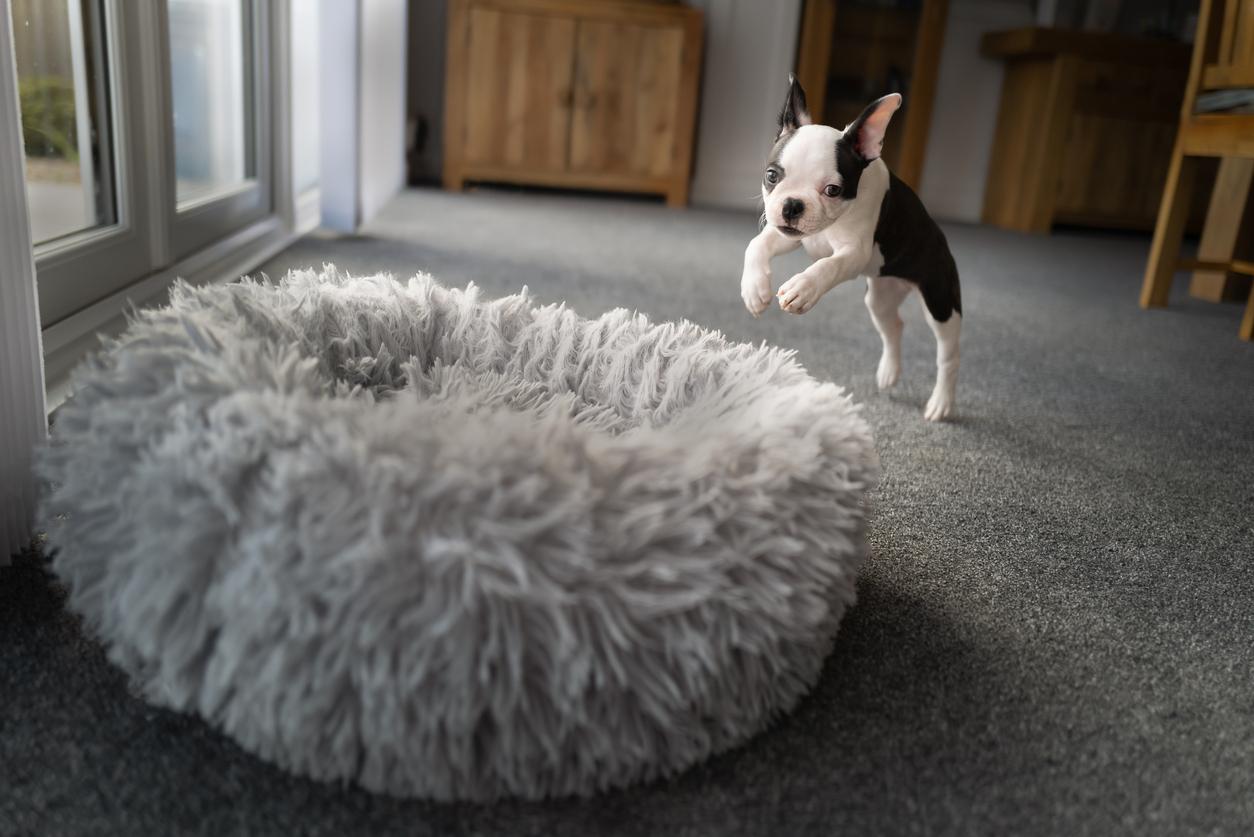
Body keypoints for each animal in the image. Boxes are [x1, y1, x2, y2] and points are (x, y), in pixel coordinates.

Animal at [737, 75, 963, 421]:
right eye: (772, 175)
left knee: (948, 355)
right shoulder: (789, 235)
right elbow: (756, 244)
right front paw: (754, 288)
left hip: (940, 300)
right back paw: (889, 372)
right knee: (894, 326)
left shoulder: (855, 253)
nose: (792, 205)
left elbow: (829, 265)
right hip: (880, 298)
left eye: (833, 190)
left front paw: (802, 289)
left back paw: (941, 401)